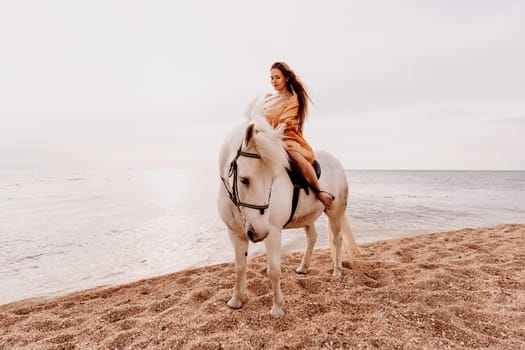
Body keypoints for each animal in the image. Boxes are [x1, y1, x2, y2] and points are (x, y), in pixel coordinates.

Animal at [215, 115, 358, 318]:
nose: (259, 232)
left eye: (273, 179)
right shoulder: (235, 233)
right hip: (307, 218)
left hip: (335, 213)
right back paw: (303, 267)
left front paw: (277, 309)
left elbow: (274, 271)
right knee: (312, 238)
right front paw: (236, 300)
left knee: (337, 240)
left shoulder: (273, 232)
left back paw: (337, 271)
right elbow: (239, 267)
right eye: (244, 180)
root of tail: (336, 161)